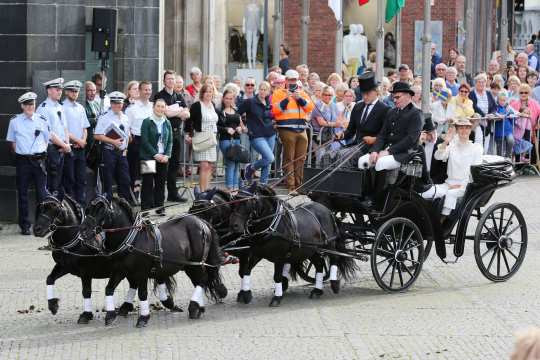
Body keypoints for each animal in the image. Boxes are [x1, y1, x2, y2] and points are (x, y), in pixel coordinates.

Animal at [78, 195, 226, 328]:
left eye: (101, 211)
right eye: (88, 210)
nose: (83, 230)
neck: (132, 240)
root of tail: (202, 222)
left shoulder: (141, 272)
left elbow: (142, 293)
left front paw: (143, 318)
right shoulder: (119, 271)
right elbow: (109, 289)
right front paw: (110, 315)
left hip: (196, 263)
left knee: (202, 280)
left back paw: (194, 307)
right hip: (190, 266)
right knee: (200, 281)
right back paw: (199, 308)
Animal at [229, 184, 358, 306]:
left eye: (248, 202)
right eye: (235, 201)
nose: (234, 226)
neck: (273, 224)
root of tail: (327, 210)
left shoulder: (279, 257)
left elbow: (277, 276)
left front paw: (277, 297)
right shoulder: (257, 253)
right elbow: (246, 271)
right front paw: (246, 294)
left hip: (329, 244)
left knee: (334, 258)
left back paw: (334, 284)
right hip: (312, 249)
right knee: (319, 264)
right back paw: (317, 290)